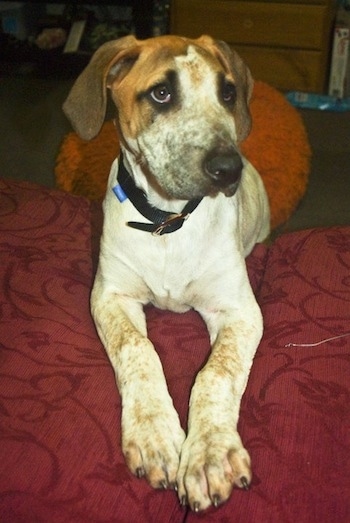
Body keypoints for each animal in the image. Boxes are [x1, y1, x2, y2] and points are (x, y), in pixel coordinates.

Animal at [63, 34, 270, 512]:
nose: (228, 168)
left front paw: (210, 453)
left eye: (227, 93)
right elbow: (137, 348)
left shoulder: (240, 310)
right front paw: (154, 432)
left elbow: (216, 372)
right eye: (161, 93)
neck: (167, 224)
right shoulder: (110, 295)